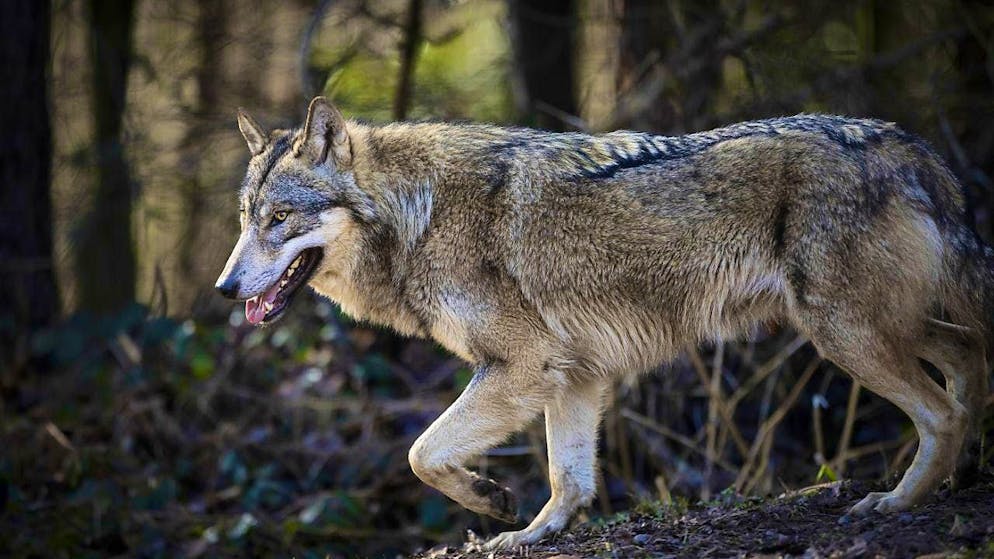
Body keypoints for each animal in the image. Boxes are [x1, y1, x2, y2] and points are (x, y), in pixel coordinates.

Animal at [215, 96, 992, 550]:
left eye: (279, 220)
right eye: (246, 219)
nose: (224, 287)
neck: (419, 214)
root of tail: (907, 144)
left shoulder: (523, 367)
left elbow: (421, 452)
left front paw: (492, 500)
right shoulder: (574, 375)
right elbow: (569, 478)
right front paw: (531, 532)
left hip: (844, 333)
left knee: (942, 409)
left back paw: (897, 502)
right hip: (879, 327)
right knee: (966, 364)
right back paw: (958, 475)